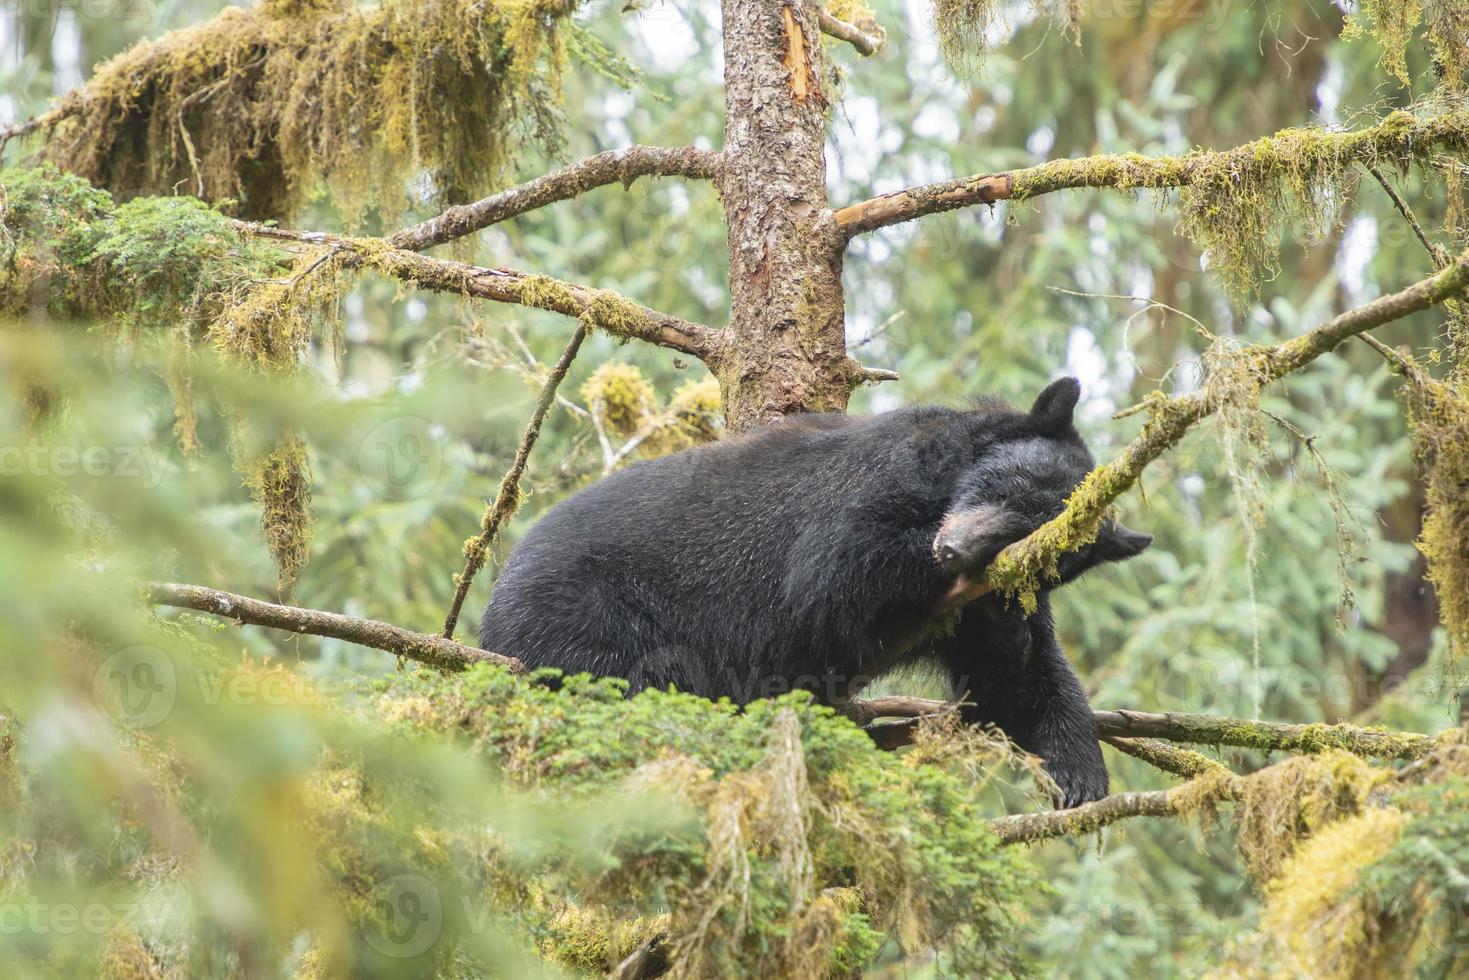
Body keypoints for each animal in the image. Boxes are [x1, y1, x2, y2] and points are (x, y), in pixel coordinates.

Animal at [478, 376, 1145, 805]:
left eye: (1051, 554)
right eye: (1008, 489)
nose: (953, 549)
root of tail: (491, 608)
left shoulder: (984, 610)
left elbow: (1021, 678)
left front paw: (1081, 776)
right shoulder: (873, 481)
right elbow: (834, 570)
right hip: (587, 612)